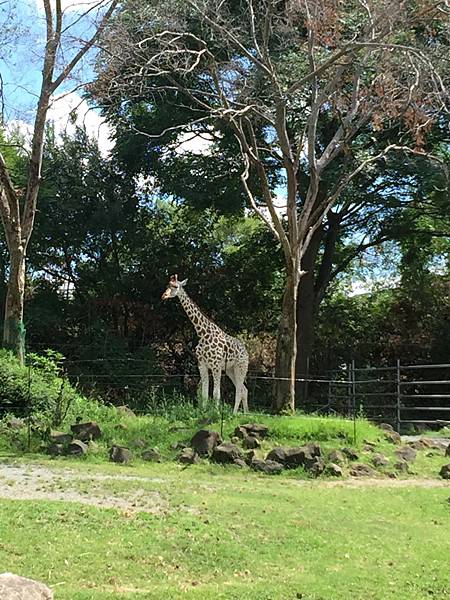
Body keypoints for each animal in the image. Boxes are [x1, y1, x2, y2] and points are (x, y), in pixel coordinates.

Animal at [161, 276, 248, 412]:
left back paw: (234, 414)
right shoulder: (202, 365)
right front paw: (203, 411)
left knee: (239, 390)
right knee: (244, 389)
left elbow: (216, 393)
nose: (163, 296)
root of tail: (246, 352)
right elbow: (204, 393)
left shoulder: (216, 366)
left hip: (241, 367)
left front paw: (216, 413)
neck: (202, 333)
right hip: (230, 370)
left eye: (175, 286)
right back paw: (245, 413)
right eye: (167, 285)